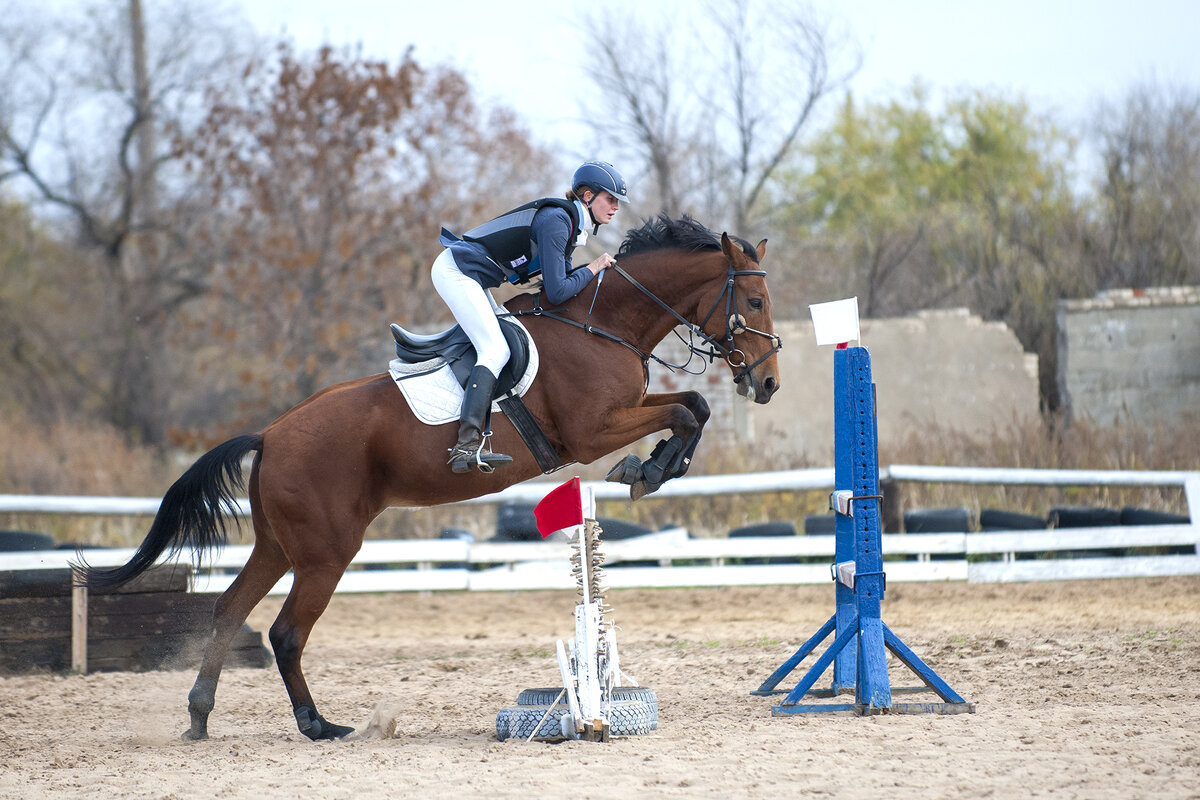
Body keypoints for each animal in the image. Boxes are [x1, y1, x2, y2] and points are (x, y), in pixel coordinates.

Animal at [79, 214, 782, 743]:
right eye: (753, 301)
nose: (769, 383)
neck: (602, 323)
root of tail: (271, 434)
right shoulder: (592, 431)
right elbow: (688, 410)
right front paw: (649, 469)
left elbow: (694, 407)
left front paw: (656, 467)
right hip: (327, 550)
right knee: (284, 632)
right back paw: (318, 725)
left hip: (280, 544)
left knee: (229, 610)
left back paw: (200, 717)